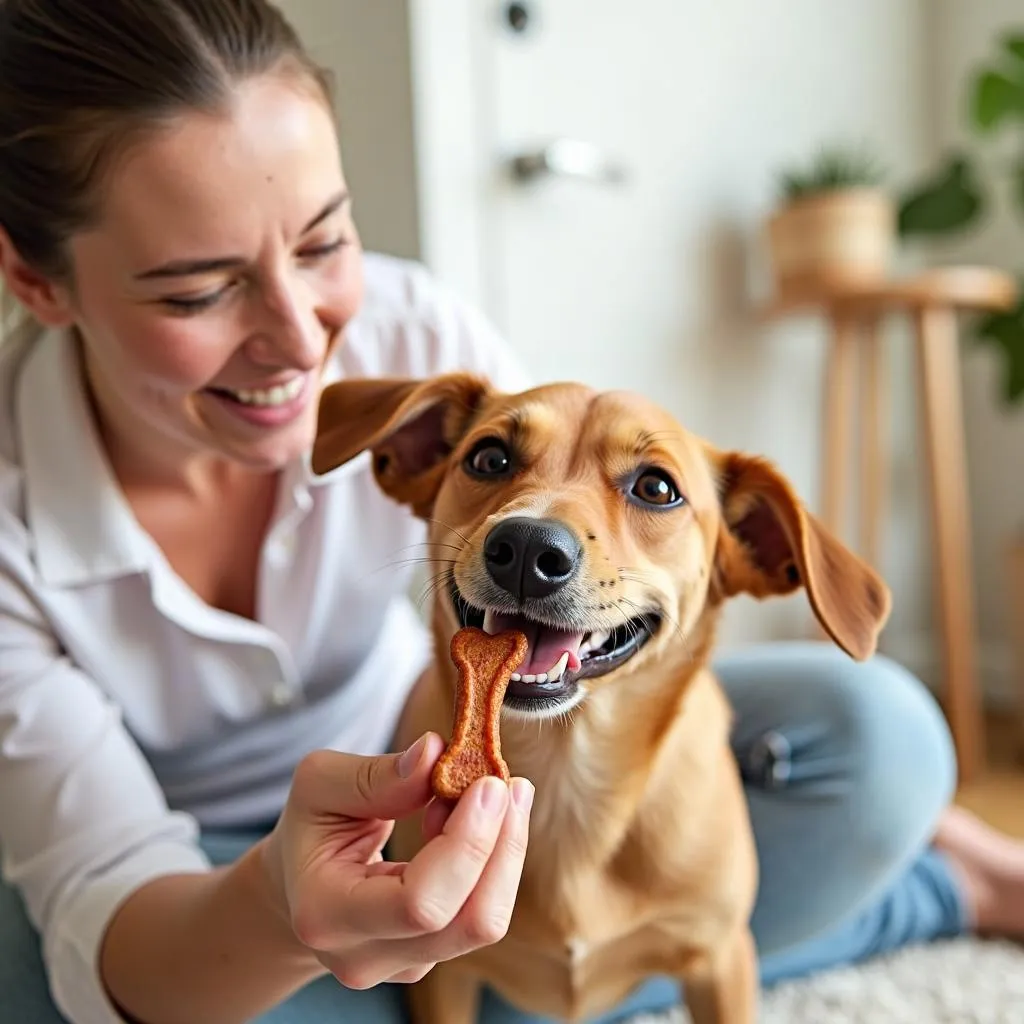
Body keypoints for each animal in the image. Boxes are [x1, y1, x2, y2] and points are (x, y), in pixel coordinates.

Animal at [309, 374, 888, 1024]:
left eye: (656, 488)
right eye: (488, 458)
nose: (526, 546)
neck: (568, 776)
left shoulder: (722, 958)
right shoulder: (443, 979)